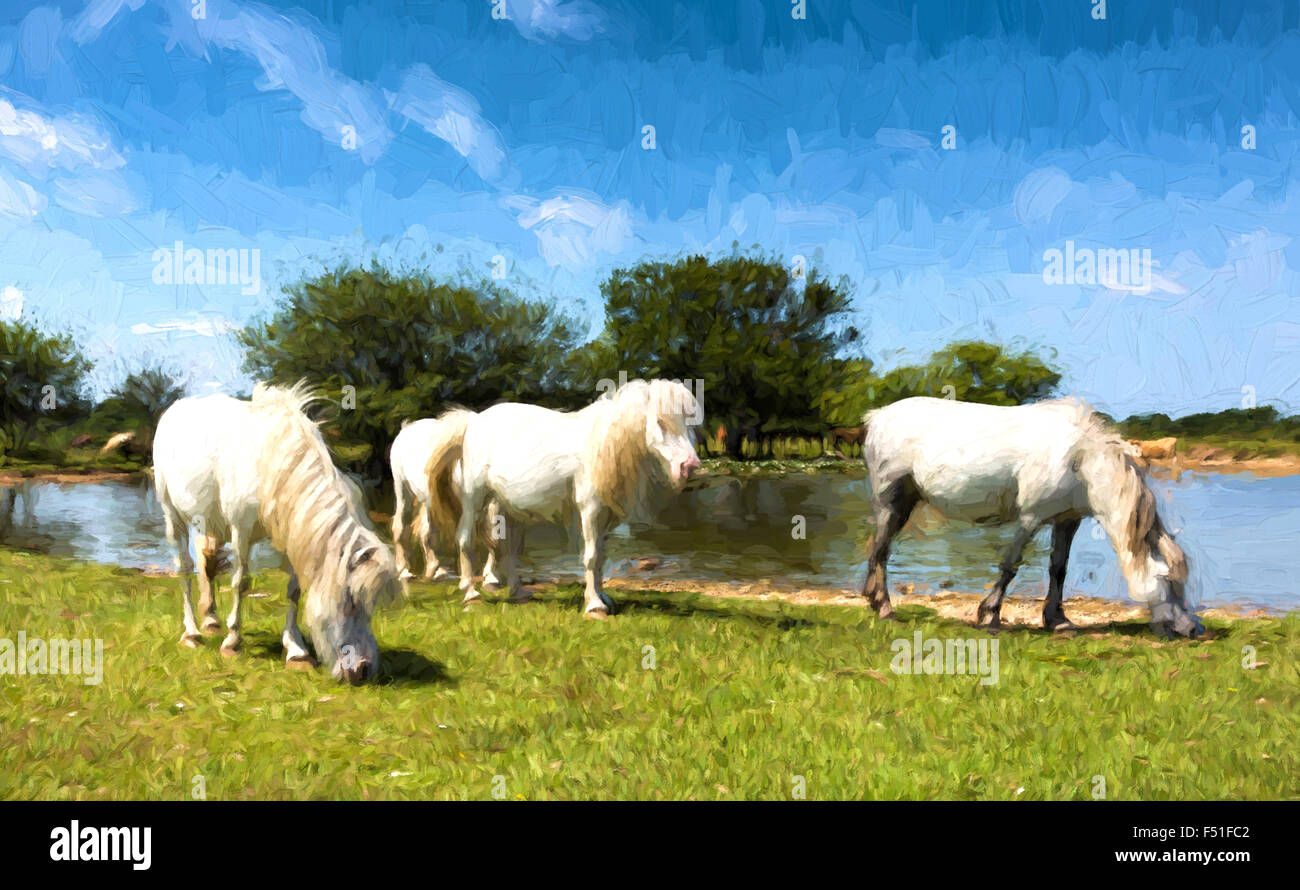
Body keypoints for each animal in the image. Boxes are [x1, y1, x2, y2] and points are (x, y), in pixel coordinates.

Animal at [150, 379, 400, 680]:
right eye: (350, 601)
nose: (363, 670)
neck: (273, 461)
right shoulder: (242, 530)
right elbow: (241, 582)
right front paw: (232, 643)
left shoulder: (290, 531)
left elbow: (293, 591)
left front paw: (297, 651)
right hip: (171, 513)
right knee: (185, 568)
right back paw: (191, 634)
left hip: (208, 520)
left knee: (206, 558)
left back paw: (210, 621)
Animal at [384, 415, 496, 582]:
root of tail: (406, 428)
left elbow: (493, 535)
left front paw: (490, 574)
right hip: (403, 490)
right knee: (401, 525)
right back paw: (405, 570)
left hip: (428, 501)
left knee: (425, 532)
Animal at [428, 379, 707, 613]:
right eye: (660, 423)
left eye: (691, 425)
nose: (690, 467)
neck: (601, 447)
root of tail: (474, 420)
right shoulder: (590, 510)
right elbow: (591, 557)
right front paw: (594, 606)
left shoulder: (604, 516)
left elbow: (600, 558)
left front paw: (603, 598)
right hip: (474, 499)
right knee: (465, 539)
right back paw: (470, 594)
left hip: (507, 506)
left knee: (508, 548)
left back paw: (518, 592)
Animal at [857, 397, 1201, 639]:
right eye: (1169, 582)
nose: (1193, 629)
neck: (1080, 459)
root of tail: (878, 416)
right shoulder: (1031, 517)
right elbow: (1011, 565)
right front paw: (990, 615)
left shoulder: (1067, 520)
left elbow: (1058, 569)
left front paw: (1058, 620)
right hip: (891, 501)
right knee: (881, 550)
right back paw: (884, 608)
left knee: (879, 549)